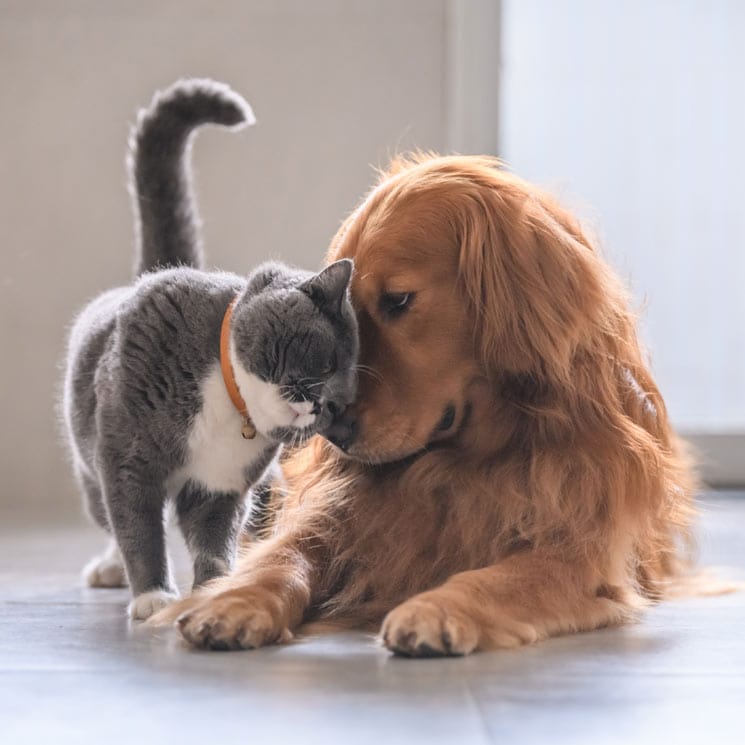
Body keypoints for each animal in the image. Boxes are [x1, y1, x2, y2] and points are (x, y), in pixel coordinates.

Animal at [61, 78, 358, 620]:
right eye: (326, 362)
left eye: (340, 404)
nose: (321, 405)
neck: (227, 400)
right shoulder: (127, 459)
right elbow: (138, 526)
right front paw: (153, 595)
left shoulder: (222, 485)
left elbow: (213, 538)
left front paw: (214, 590)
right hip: (89, 459)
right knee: (108, 515)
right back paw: (111, 569)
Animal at [157, 154, 696, 652]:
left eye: (398, 300)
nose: (333, 432)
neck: (465, 461)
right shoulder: (335, 516)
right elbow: (282, 556)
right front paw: (232, 601)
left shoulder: (579, 552)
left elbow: (499, 577)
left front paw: (436, 609)